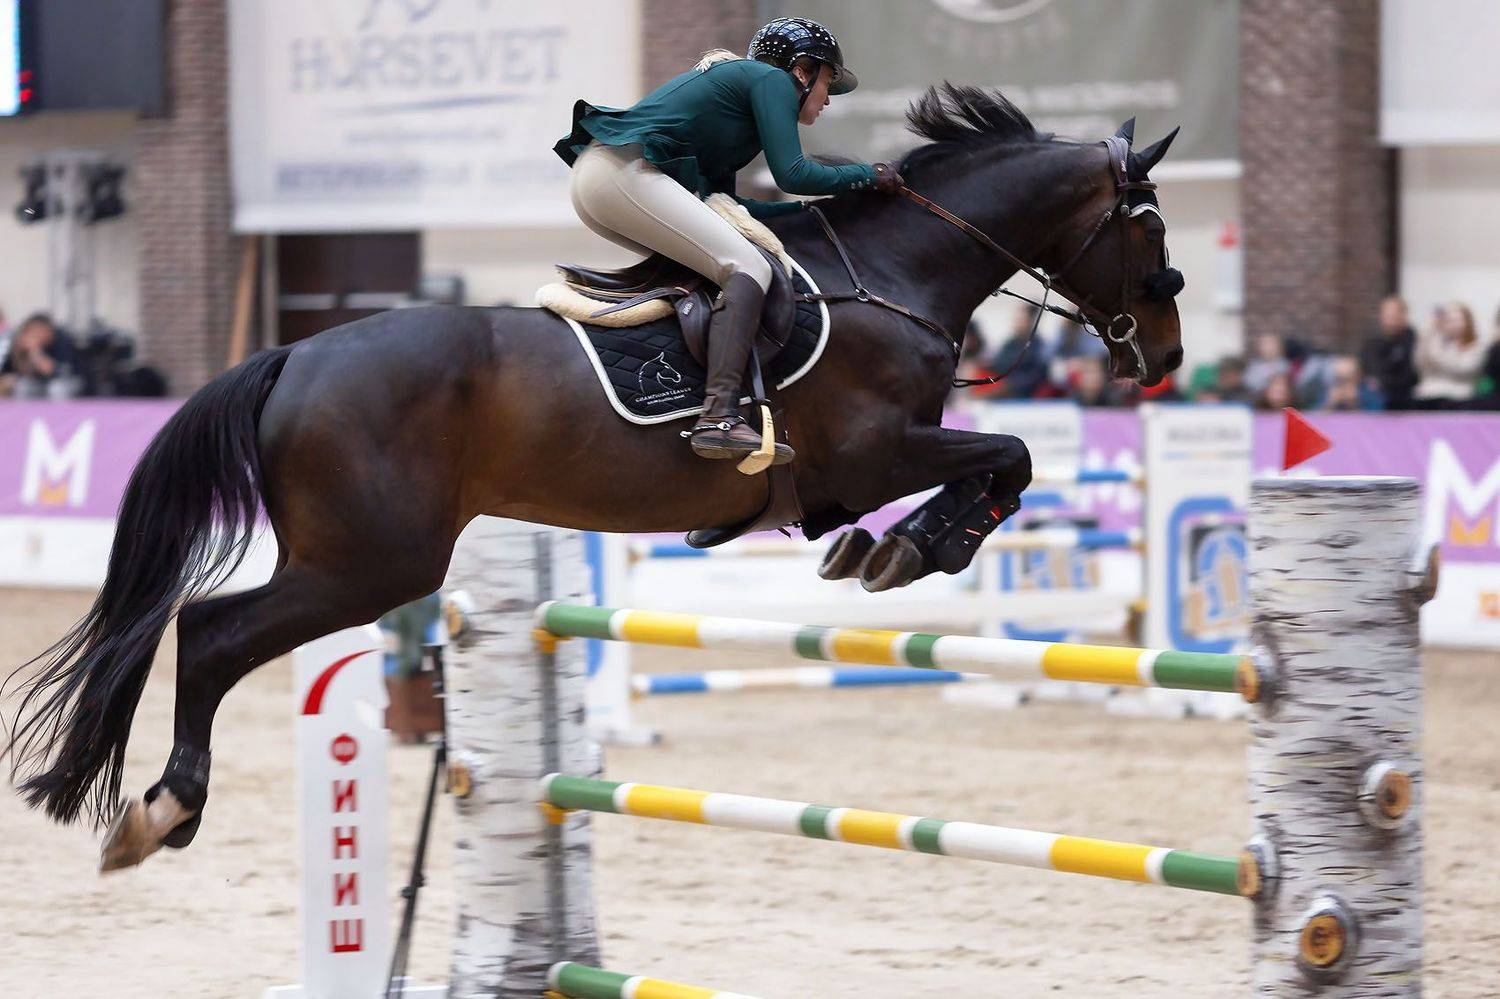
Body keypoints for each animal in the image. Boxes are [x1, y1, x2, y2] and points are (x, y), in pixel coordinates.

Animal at [3, 85, 1185, 870]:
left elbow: (991, 468)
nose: (1164, 359)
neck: (894, 273)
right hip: (370, 562)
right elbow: (1008, 458)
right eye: (1149, 229)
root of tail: (291, 354)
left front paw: (884, 546)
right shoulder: (876, 448)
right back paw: (165, 810)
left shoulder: (871, 462)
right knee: (208, 632)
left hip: (356, 557)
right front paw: (909, 547)